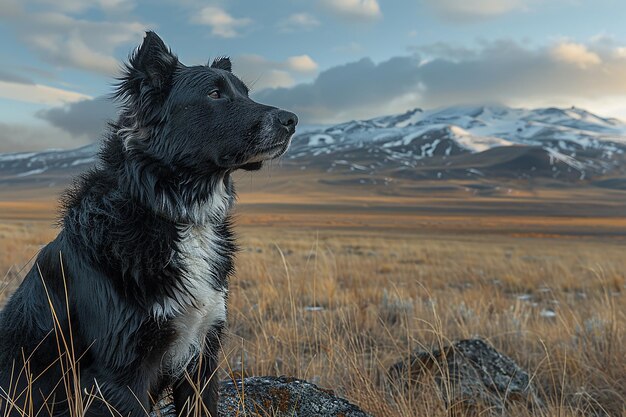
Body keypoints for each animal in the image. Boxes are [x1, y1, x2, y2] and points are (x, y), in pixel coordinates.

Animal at [0, 30, 298, 414]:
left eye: (246, 93)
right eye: (214, 94)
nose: (292, 120)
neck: (181, 215)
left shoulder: (203, 356)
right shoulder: (120, 373)